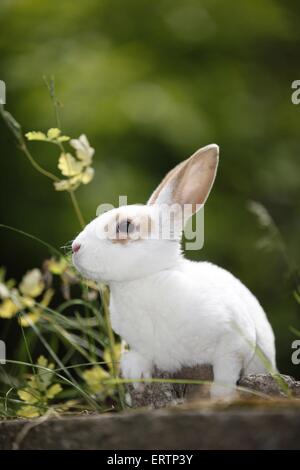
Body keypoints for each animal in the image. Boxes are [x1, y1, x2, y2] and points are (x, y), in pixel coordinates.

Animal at [72, 142, 276, 396]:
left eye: (126, 226)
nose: (75, 247)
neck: (143, 281)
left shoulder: (235, 340)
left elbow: (226, 371)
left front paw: (220, 396)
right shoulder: (139, 346)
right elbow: (140, 357)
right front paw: (136, 377)